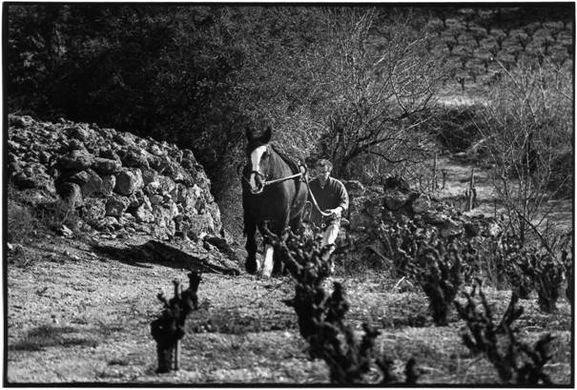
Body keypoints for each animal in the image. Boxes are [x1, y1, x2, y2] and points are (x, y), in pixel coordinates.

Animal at [241, 125, 308, 278]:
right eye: (247, 153)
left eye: (266, 154)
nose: (256, 182)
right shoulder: (250, 214)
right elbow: (252, 240)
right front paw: (252, 265)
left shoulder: (283, 216)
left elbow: (280, 240)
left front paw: (277, 268)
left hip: (296, 217)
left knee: (288, 240)